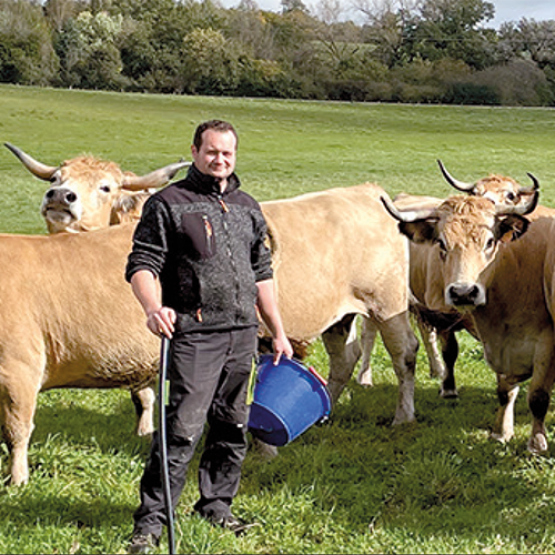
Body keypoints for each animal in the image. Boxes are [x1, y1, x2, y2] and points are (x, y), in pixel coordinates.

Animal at [382, 189, 555, 454]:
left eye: (490, 242)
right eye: (441, 243)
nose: (463, 292)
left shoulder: (546, 342)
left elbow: (537, 396)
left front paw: (536, 443)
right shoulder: (495, 342)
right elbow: (504, 391)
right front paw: (500, 432)